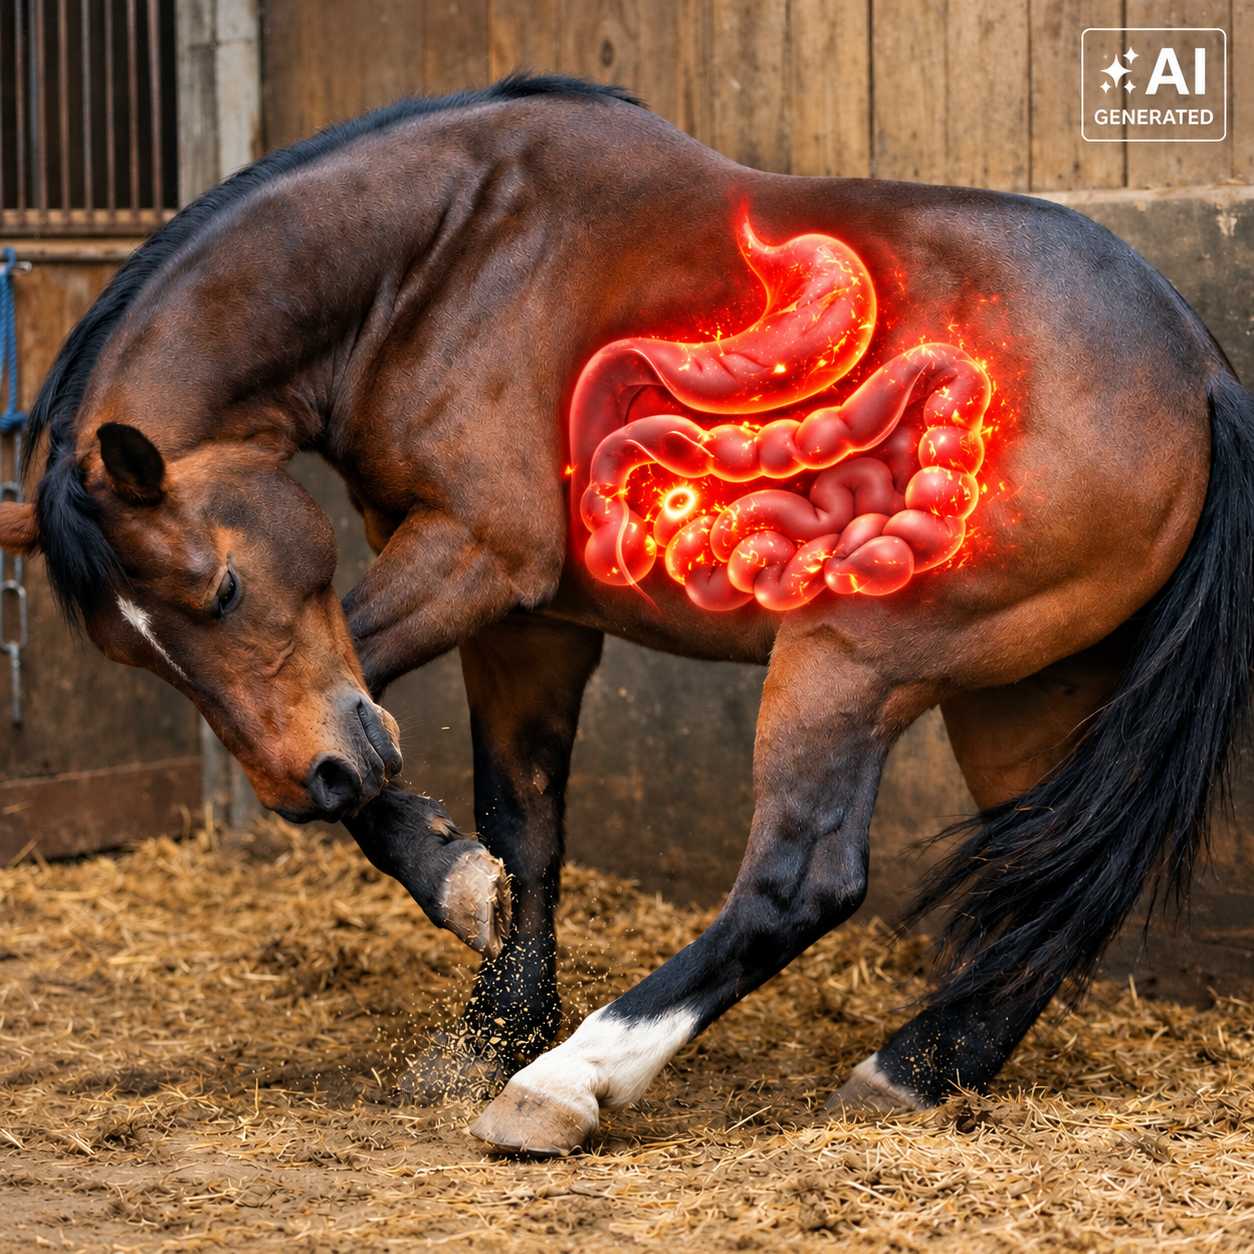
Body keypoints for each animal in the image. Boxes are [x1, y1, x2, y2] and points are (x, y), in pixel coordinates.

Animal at [1, 75, 1250, 1158]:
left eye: (219, 588)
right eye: (133, 652)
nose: (323, 779)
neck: (446, 251)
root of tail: (1195, 369)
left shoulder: (476, 557)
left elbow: (384, 696)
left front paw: (464, 923)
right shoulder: (529, 624)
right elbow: (523, 824)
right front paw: (488, 1014)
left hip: (853, 660)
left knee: (802, 880)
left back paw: (570, 1085)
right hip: (1023, 694)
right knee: (1052, 885)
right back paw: (916, 1070)